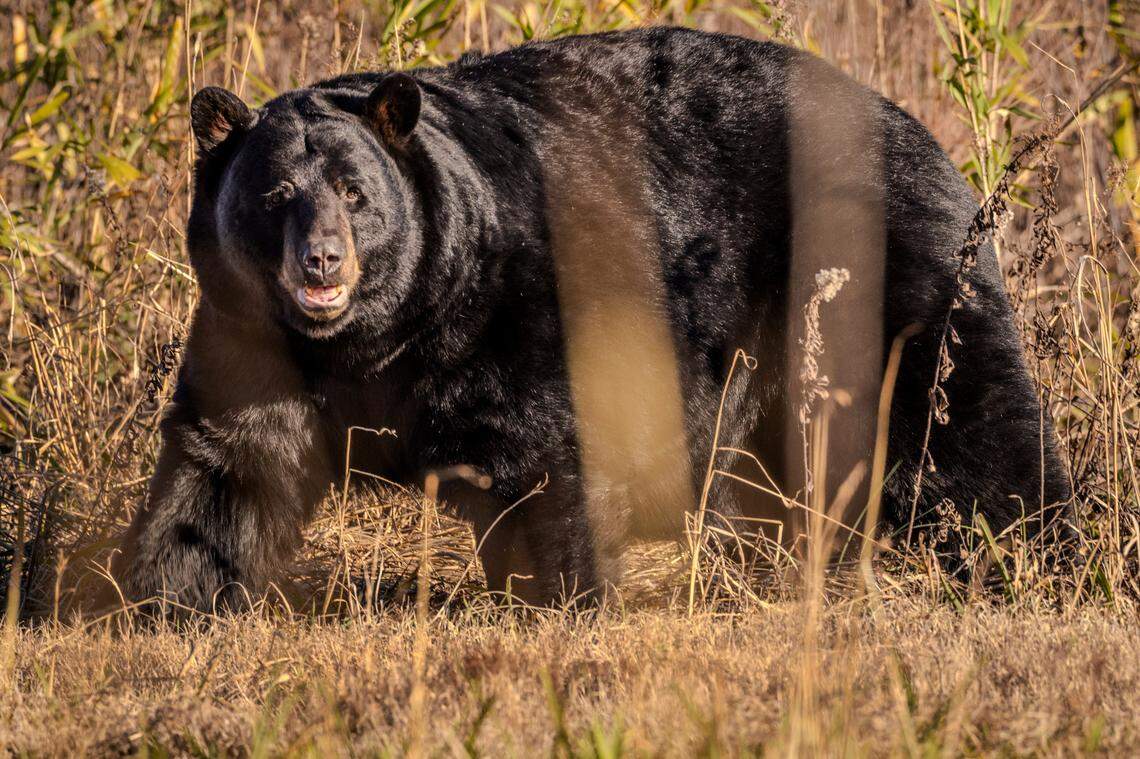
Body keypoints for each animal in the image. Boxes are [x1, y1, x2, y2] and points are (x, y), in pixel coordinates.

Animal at [114, 26, 1071, 612]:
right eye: (276, 193)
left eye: (354, 192)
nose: (321, 262)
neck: (373, 343)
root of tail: (922, 133)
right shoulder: (252, 337)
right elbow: (229, 466)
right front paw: (157, 595)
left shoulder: (519, 309)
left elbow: (555, 451)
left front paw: (564, 594)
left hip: (872, 277)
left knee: (960, 422)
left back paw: (1029, 549)